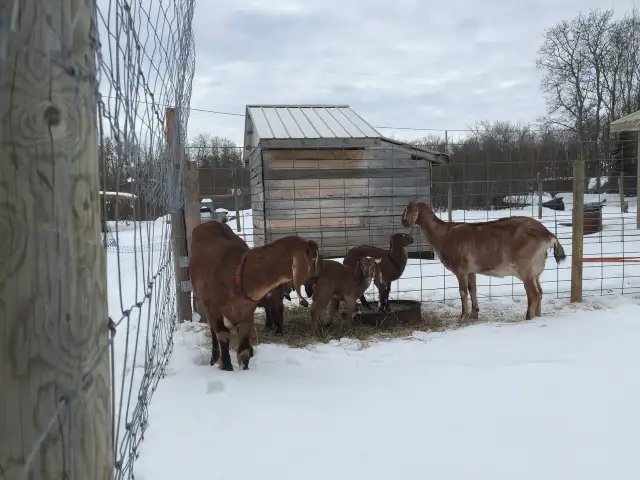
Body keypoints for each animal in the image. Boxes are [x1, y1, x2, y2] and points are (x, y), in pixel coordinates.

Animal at [189, 220, 320, 370]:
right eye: (314, 259)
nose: (319, 277)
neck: (236, 275)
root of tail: (208, 223)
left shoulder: (247, 313)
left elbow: (243, 351)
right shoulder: (213, 307)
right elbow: (222, 334)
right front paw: (226, 367)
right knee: (213, 331)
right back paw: (214, 358)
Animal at [401, 201, 566, 321]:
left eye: (408, 210)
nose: (403, 222)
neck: (444, 234)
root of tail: (549, 235)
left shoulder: (461, 269)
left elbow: (463, 292)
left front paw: (462, 317)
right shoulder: (471, 270)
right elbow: (472, 289)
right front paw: (474, 314)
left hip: (525, 267)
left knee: (534, 294)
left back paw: (528, 318)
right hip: (536, 270)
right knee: (540, 292)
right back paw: (538, 316)